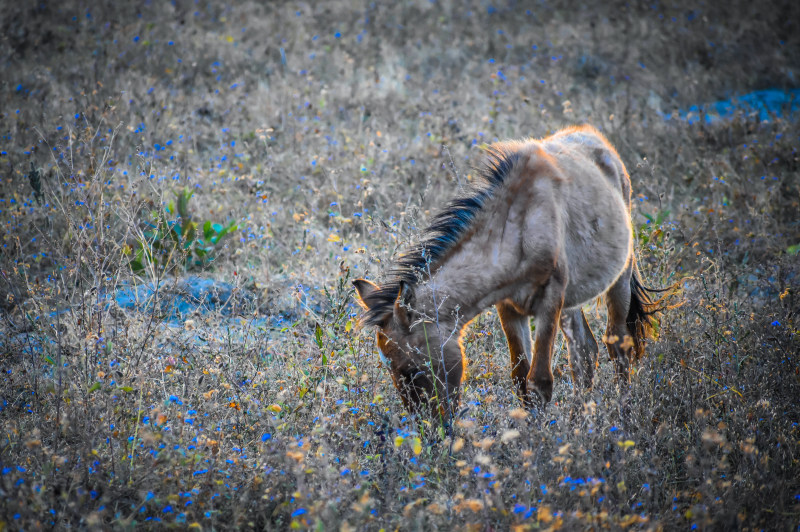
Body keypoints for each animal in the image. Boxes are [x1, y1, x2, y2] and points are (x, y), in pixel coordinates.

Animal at [354, 124, 664, 424]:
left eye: (412, 370)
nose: (430, 429)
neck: (518, 227)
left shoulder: (549, 301)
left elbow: (540, 381)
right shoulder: (509, 306)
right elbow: (520, 379)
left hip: (619, 279)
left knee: (618, 347)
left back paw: (622, 418)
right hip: (572, 302)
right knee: (585, 353)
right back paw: (579, 423)